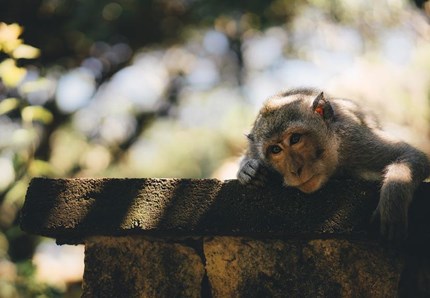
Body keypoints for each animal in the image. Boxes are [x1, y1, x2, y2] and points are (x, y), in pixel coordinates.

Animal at [237, 87, 430, 241]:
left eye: (295, 138)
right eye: (275, 149)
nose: (295, 170)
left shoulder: (353, 141)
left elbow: (411, 155)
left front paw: (392, 205)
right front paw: (248, 170)